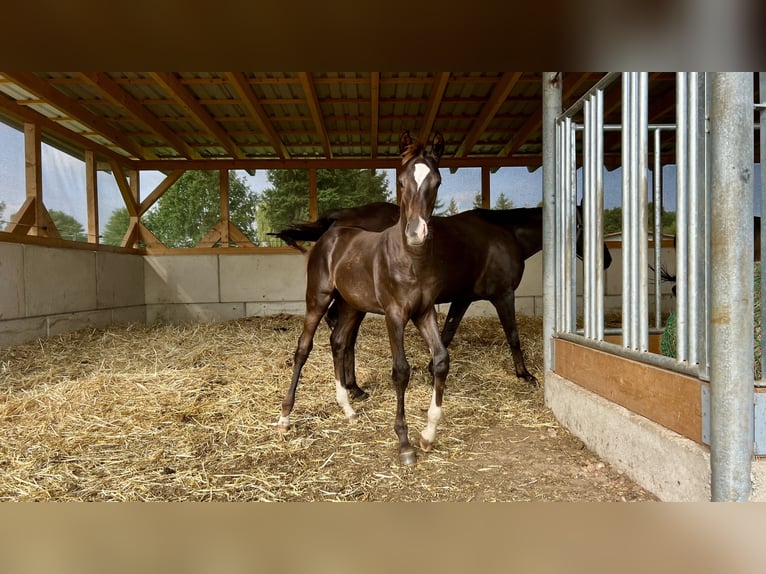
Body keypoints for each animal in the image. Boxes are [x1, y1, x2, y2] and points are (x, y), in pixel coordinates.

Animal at [274, 203, 613, 388]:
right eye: (584, 226)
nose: (607, 260)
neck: (506, 233)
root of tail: (340, 220)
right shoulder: (503, 295)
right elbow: (513, 335)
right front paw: (524, 374)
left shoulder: (462, 298)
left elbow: (447, 333)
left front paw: (430, 368)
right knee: (341, 332)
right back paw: (350, 385)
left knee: (340, 332)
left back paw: (351, 385)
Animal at [277, 131, 448, 466]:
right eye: (401, 181)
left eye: (437, 181)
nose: (416, 233)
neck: (411, 259)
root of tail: (328, 236)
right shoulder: (395, 314)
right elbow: (401, 371)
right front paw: (404, 444)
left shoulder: (425, 312)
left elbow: (441, 361)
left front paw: (428, 435)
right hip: (318, 298)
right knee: (303, 348)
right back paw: (285, 418)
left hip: (352, 306)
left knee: (339, 341)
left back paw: (348, 408)